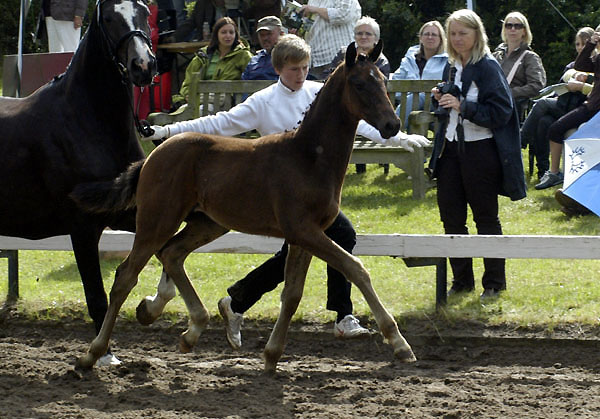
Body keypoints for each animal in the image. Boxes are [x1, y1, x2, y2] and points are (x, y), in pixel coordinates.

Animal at [0, 0, 157, 364]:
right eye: (109, 17)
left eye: (144, 10)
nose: (143, 64)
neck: (86, 120)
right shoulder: (83, 226)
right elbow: (97, 296)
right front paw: (103, 354)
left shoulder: (128, 211)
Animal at [71, 44, 418, 372]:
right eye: (359, 84)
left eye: (384, 81)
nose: (391, 125)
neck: (309, 157)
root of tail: (151, 157)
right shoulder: (304, 230)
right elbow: (356, 269)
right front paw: (400, 345)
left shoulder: (304, 236)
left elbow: (293, 293)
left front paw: (271, 355)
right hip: (157, 220)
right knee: (126, 276)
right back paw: (92, 354)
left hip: (208, 223)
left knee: (171, 253)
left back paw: (183, 326)